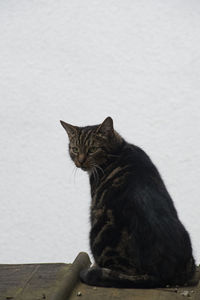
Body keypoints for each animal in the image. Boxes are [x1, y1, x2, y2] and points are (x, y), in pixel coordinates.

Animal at [60, 116, 195, 288]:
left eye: (92, 149)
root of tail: (159, 274)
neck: (119, 149)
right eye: (75, 149)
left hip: (98, 231)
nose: (80, 161)